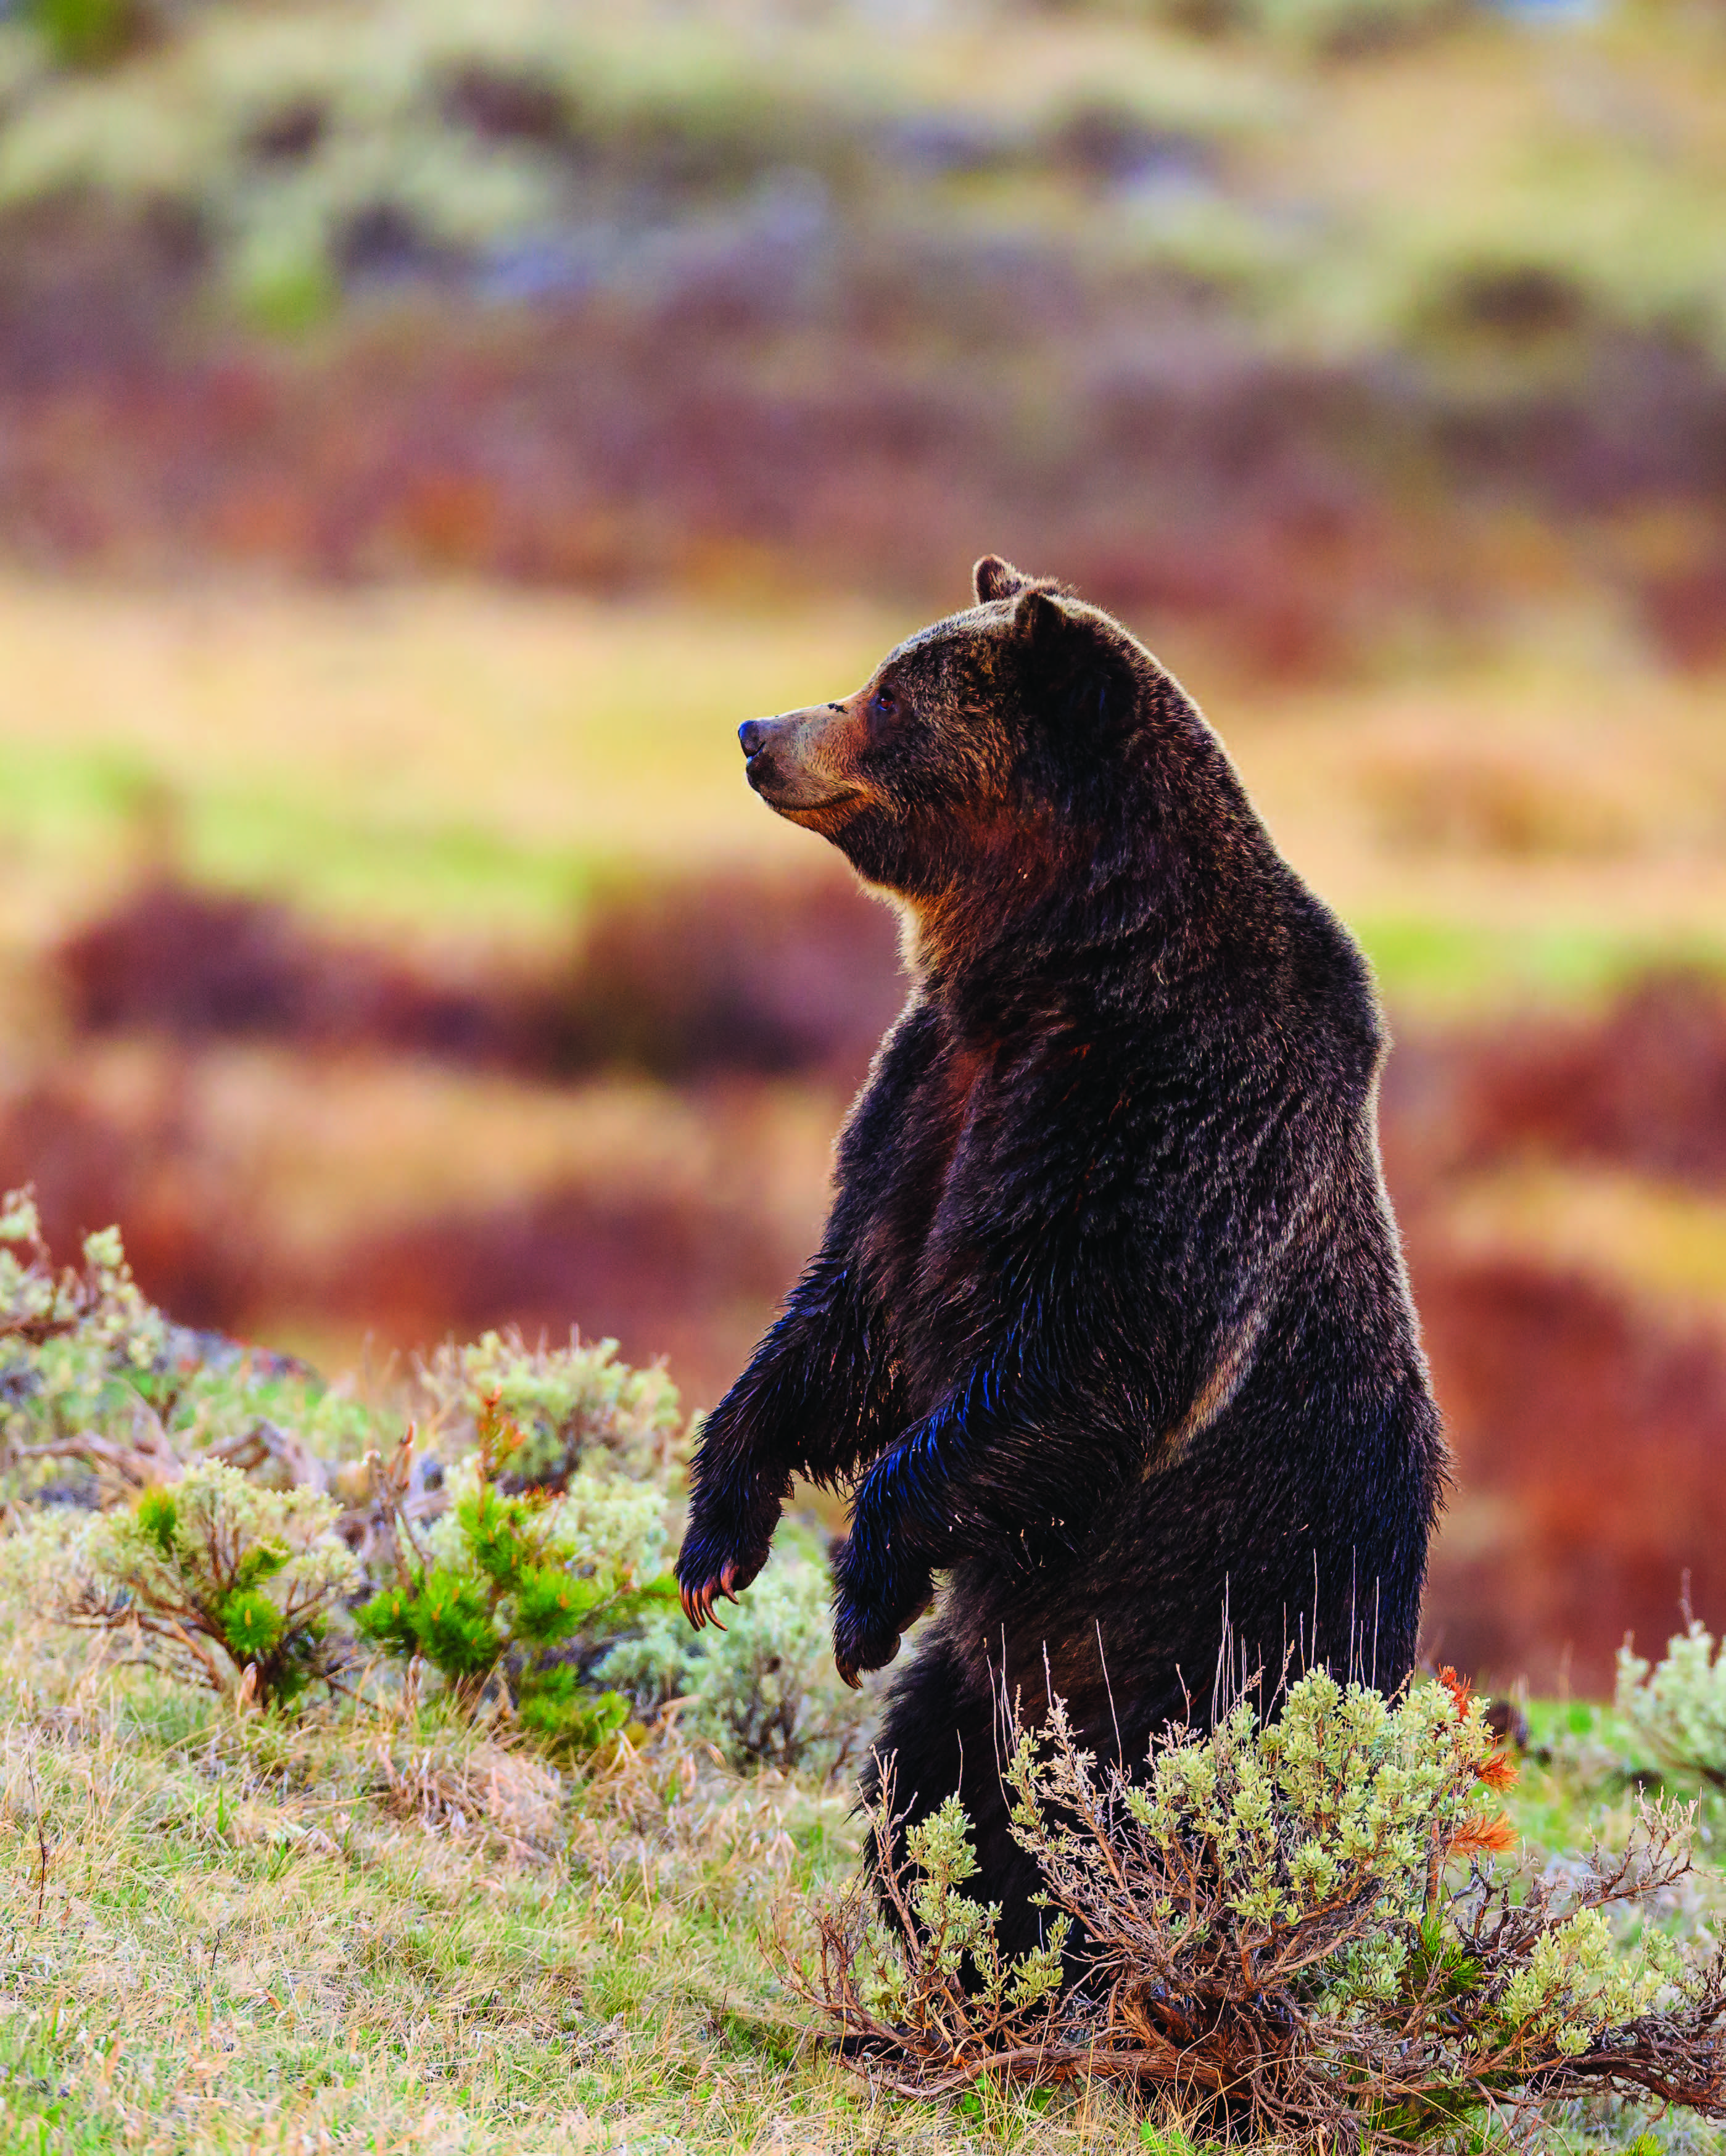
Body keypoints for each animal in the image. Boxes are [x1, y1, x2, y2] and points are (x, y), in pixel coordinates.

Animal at [672, 560, 1439, 1957]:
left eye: (888, 690)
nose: (759, 732)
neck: (1050, 963)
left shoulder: (1164, 1119)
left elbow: (1084, 1359)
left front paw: (859, 1598)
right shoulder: (934, 1093)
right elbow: (852, 1312)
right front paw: (717, 1540)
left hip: (1213, 1648)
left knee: (1143, 1813)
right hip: (1000, 1672)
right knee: (934, 1777)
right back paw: (965, 1946)